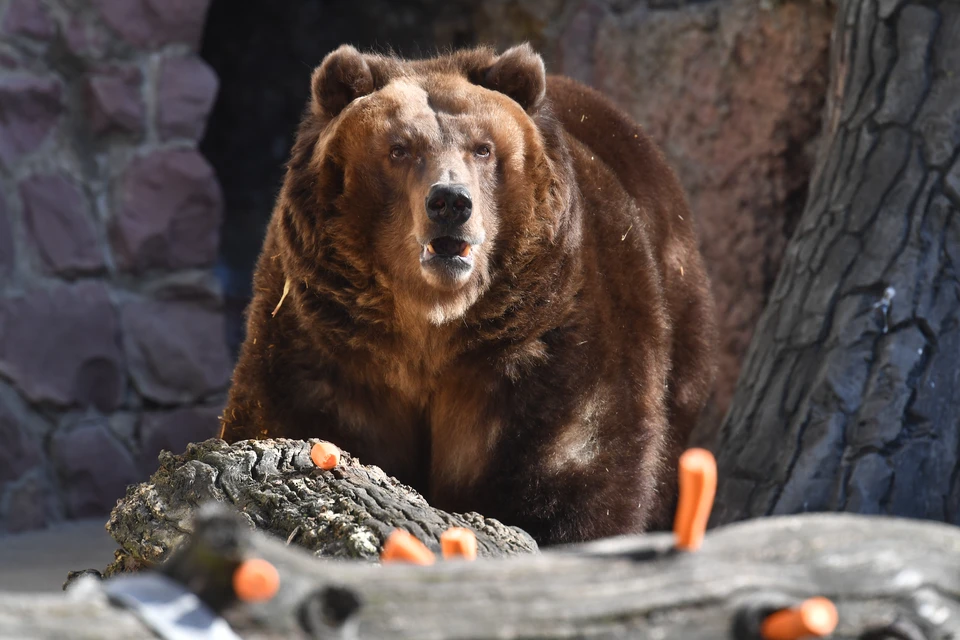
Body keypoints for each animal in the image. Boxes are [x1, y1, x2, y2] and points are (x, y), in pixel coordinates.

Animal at [221, 43, 716, 544]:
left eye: (483, 148)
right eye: (399, 149)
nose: (450, 202)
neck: (432, 326)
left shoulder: (549, 344)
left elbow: (576, 468)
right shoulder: (325, 343)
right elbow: (291, 418)